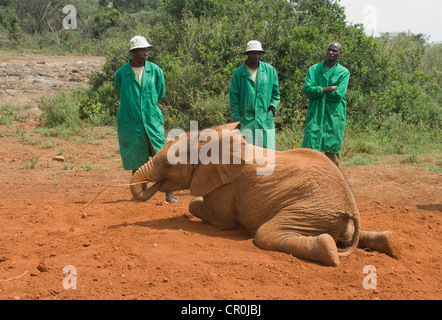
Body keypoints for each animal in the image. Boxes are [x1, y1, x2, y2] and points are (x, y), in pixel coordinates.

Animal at [129, 121, 400, 266]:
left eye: (167, 165)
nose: (152, 186)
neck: (208, 141)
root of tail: (351, 204)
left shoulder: (225, 186)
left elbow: (212, 214)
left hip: (310, 208)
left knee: (266, 234)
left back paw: (329, 250)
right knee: (348, 234)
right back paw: (391, 243)